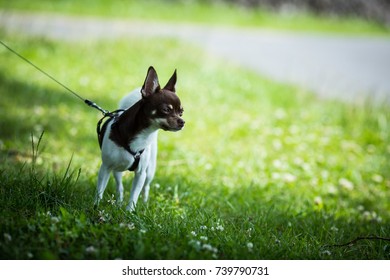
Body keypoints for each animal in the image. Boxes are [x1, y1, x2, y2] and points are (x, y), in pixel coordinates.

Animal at [95, 66, 185, 210]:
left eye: (181, 112)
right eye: (166, 109)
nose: (182, 121)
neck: (143, 135)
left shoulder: (141, 174)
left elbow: (133, 196)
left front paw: (129, 212)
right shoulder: (105, 168)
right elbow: (100, 191)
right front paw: (95, 207)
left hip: (149, 172)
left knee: (146, 188)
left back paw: (144, 204)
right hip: (116, 170)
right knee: (119, 186)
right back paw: (119, 202)